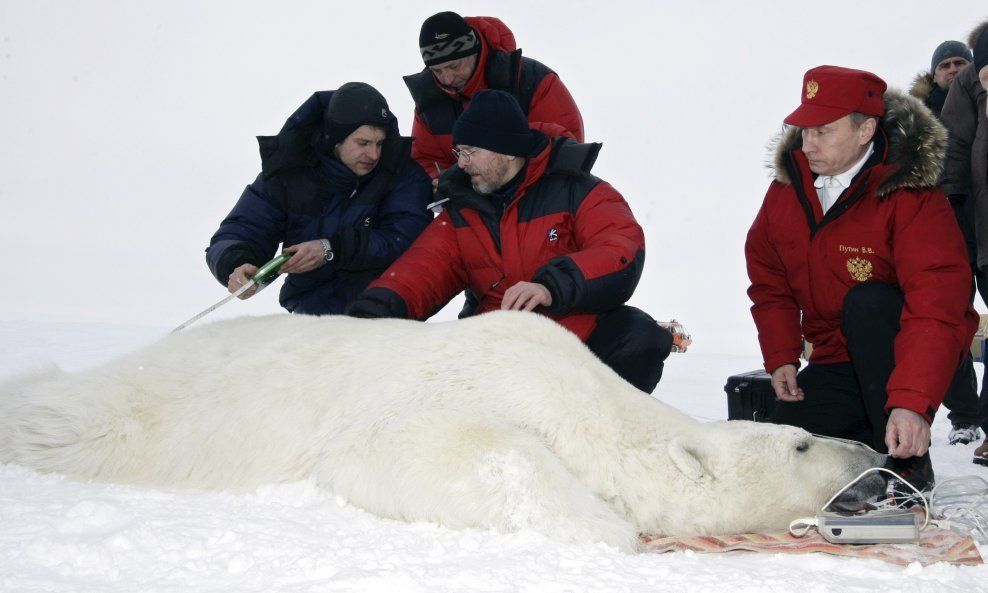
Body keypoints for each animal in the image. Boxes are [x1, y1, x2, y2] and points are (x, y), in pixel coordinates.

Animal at [0, 310, 884, 552]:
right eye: (801, 442)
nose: (875, 452)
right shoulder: (466, 385)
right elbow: (427, 447)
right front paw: (608, 527)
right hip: (127, 413)